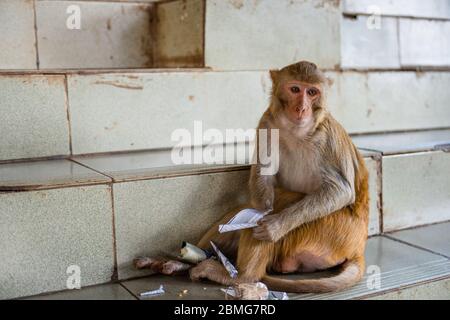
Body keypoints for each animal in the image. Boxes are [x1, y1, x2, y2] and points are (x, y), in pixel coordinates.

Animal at [138, 61, 370, 294]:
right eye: (295, 89)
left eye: (312, 92)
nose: (301, 108)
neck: (298, 132)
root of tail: (358, 247)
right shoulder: (267, 121)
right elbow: (263, 179)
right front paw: (262, 207)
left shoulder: (327, 136)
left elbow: (341, 190)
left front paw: (274, 227)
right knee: (246, 209)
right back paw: (184, 262)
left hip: (332, 231)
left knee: (283, 202)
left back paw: (242, 276)